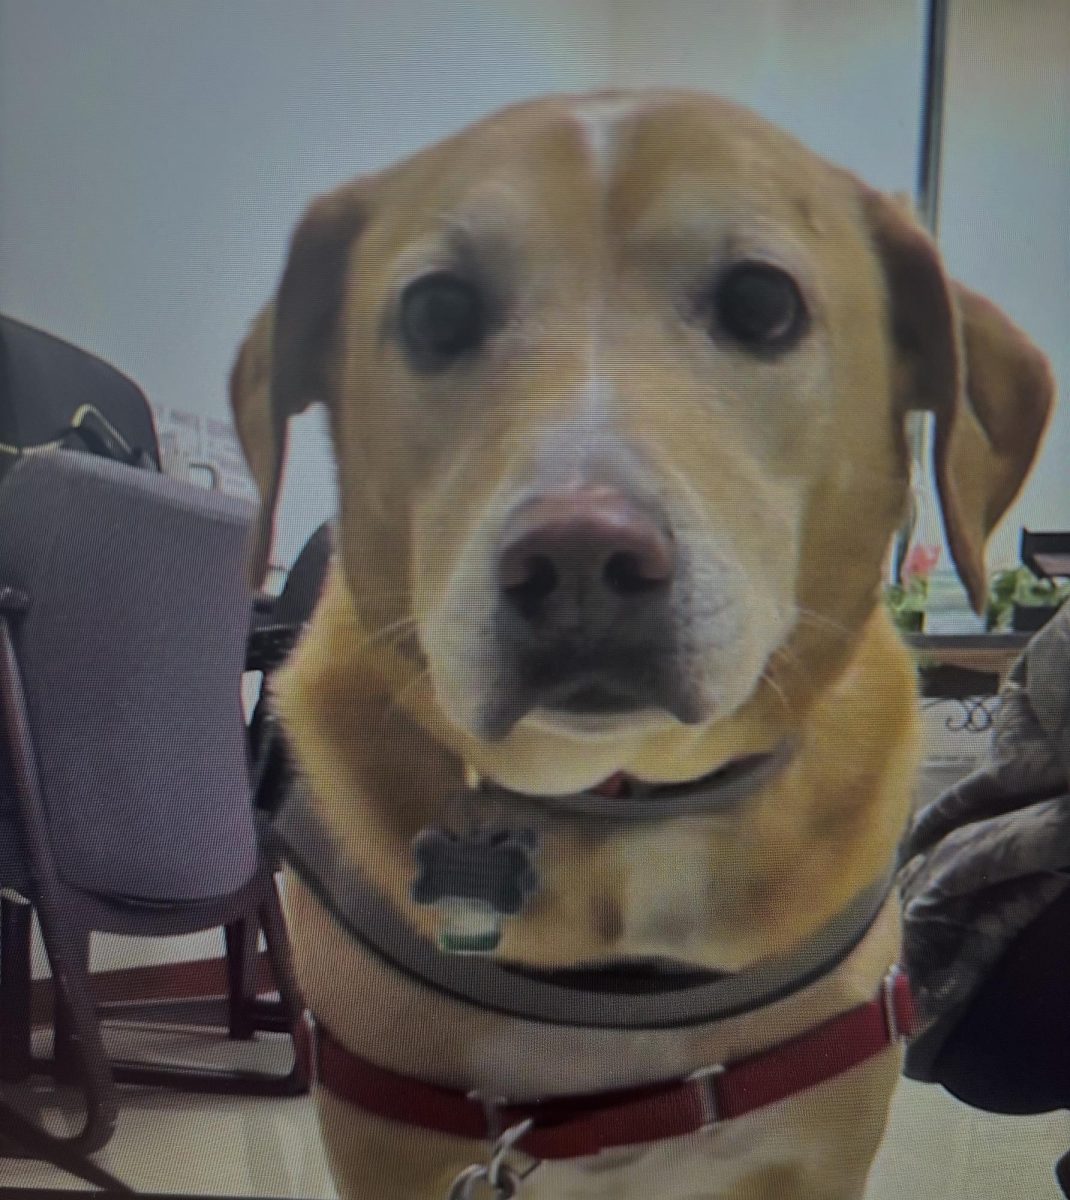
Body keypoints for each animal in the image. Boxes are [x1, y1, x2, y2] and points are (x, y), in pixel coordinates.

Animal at [231, 91, 1055, 1200]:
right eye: (436, 312)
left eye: (762, 305)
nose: (579, 559)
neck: (624, 803)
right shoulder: (387, 1152)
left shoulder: (817, 1153)